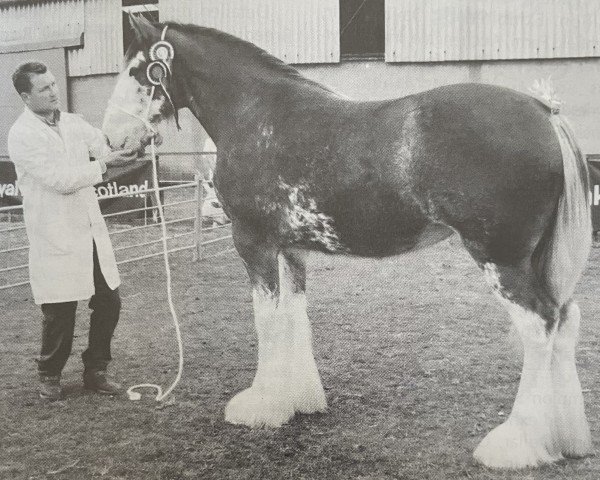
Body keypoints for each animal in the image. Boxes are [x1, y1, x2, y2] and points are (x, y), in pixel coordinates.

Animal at [101, 15, 592, 468]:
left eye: (137, 70)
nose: (111, 139)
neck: (256, 114)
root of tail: (543, 112)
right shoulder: (292, 250)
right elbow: (294, 317)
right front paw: (298, 400)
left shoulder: (254, 243)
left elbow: (266, 321)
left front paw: (260, 406)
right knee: (566, 321)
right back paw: (566, 439)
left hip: (500, 260)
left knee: (539, 328)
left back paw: (514, 445)